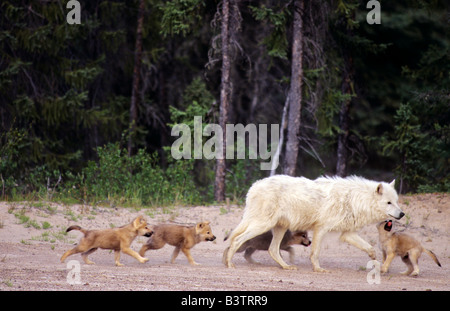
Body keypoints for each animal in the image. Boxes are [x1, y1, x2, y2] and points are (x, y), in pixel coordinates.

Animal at [225, 176, 404, 272]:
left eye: (396, 201)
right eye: (388, 203)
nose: (402, 214)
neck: (354, 200)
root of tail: (254, 186)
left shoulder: (348, 233)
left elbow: (370, 248)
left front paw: (375, 261)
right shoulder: (321, 229)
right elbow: (315, 253)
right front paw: (318, 269)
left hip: (279, 228)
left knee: (272, 250)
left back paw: (286, 267)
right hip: (262, 225)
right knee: (237, 239)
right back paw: (229, 263)